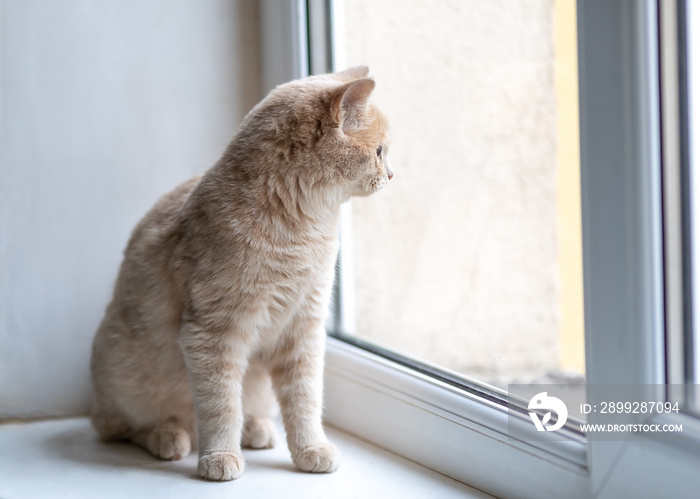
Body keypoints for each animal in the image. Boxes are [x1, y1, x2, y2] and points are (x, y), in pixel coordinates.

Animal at [89, 66, 392, 480]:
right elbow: (220, 406)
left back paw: (256, 428)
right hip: (122, 374)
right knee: (121, 426)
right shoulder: (213, 335)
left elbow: (305, 401)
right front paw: (219, 457)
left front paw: (310, 449)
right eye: (379, 151)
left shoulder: (304, 331)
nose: (391, 175)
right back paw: (168, 435)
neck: (302, 229)